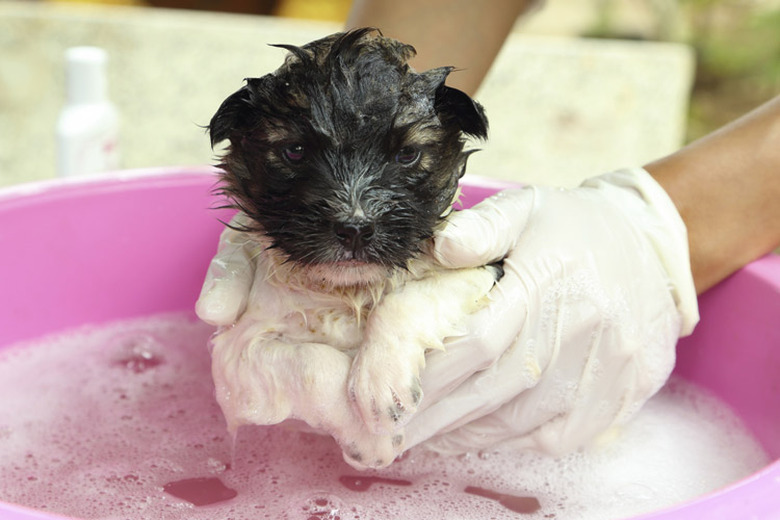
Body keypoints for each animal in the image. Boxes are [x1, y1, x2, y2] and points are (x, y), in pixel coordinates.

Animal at [206, 26, 500, 470]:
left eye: (407, 154)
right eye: (295, 151)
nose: (356, 229)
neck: (347, 294)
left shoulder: (486, 268)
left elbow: (409, 298)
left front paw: (381, 381)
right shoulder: (235, 358)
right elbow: (314, 364)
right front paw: (367, 437)